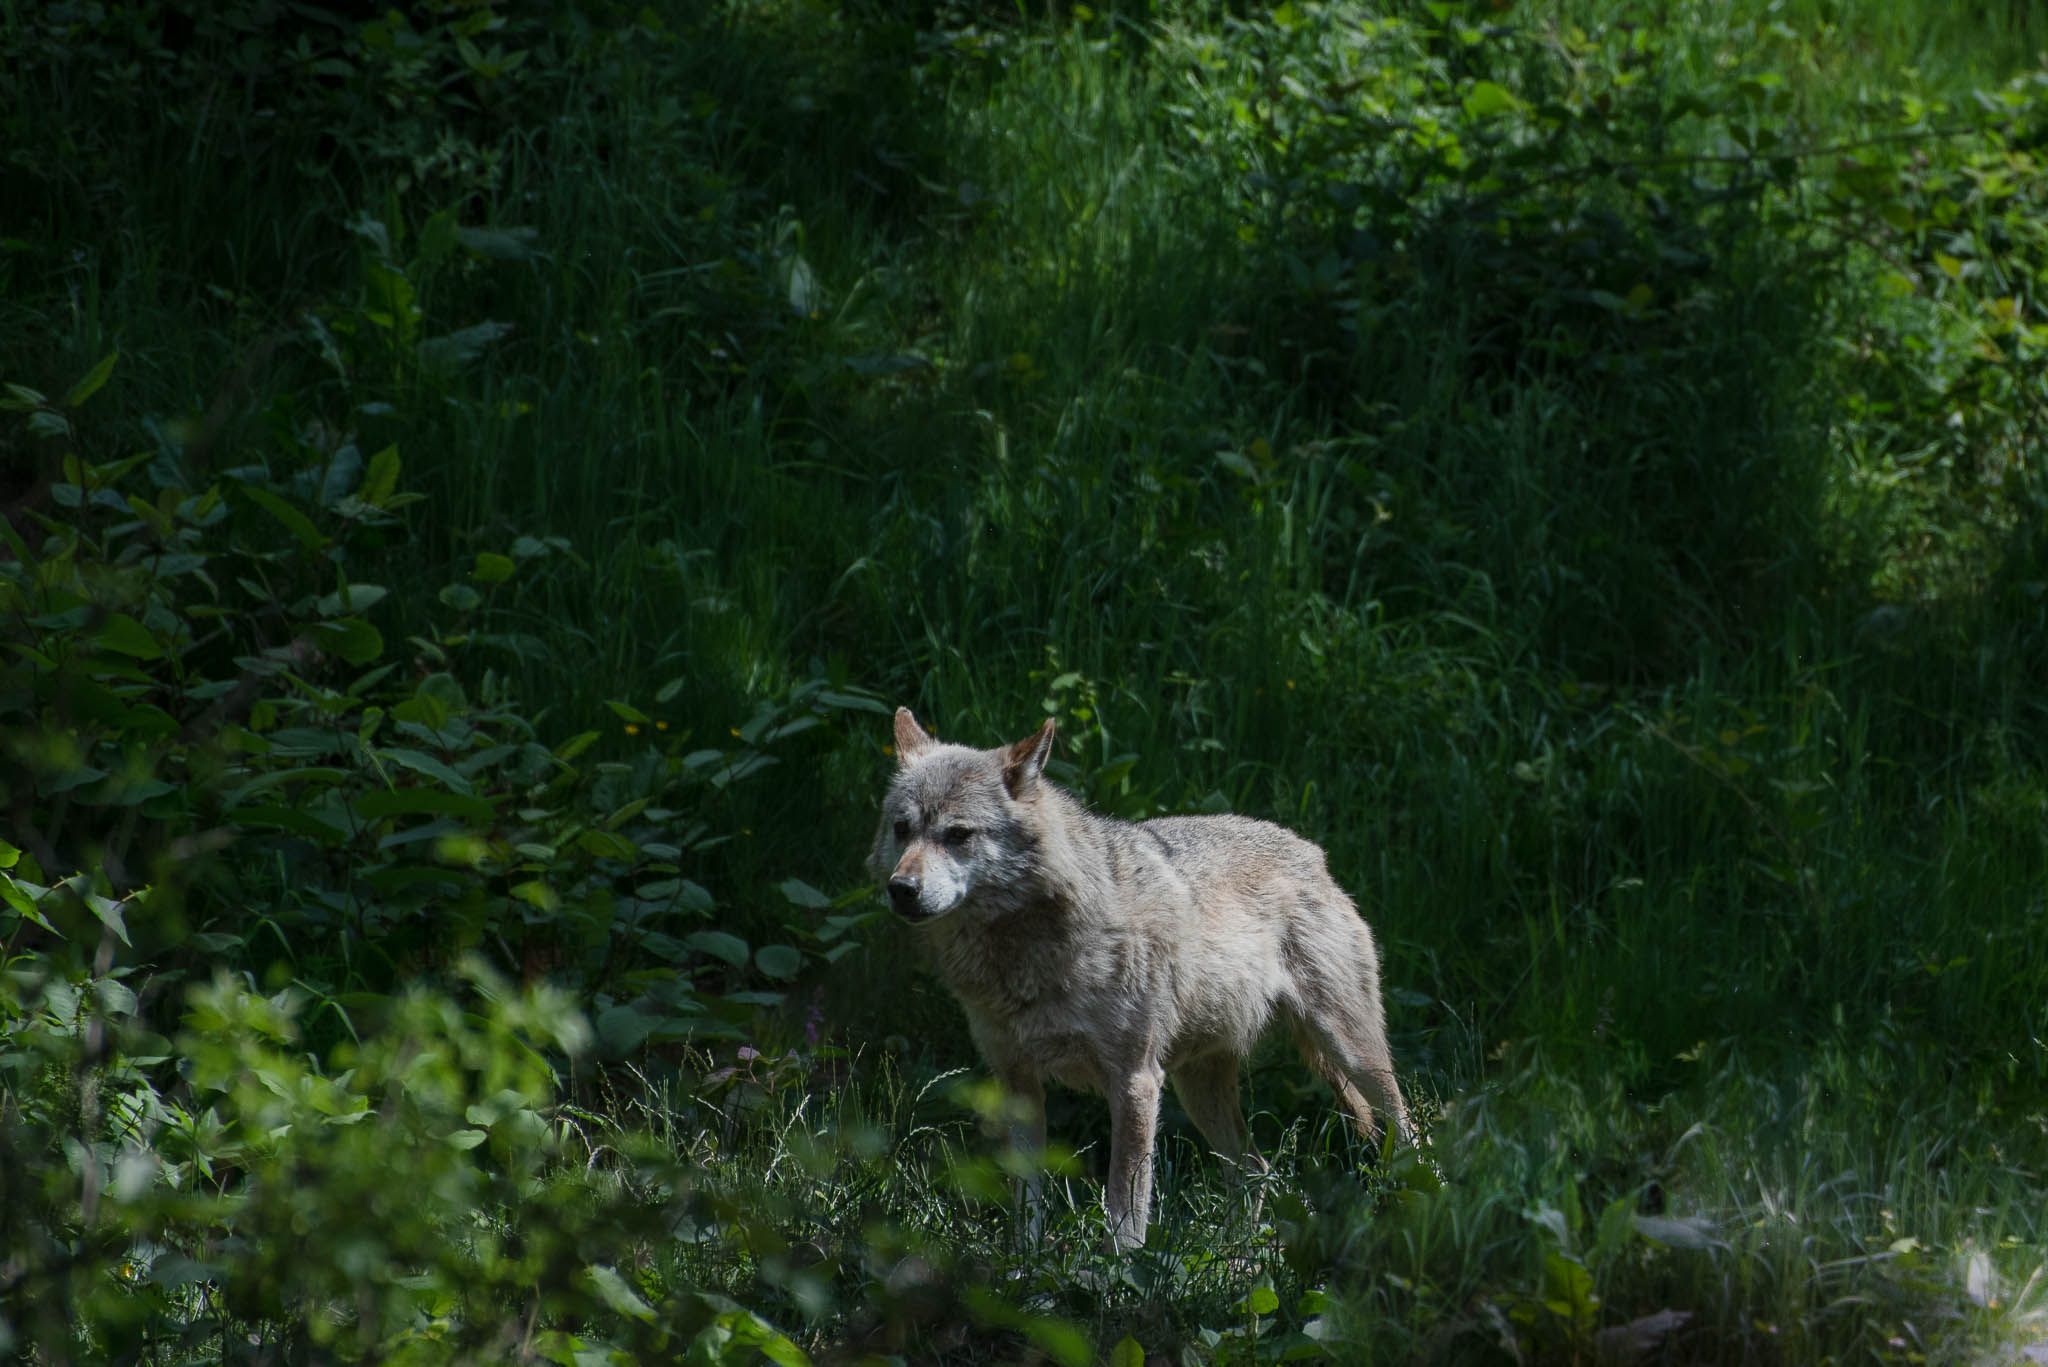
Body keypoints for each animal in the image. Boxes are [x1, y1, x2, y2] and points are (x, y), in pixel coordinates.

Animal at [869, 707, 1412, 1250]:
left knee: (1407, 1133)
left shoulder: (1135, 1082)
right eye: (902, 829)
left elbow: (1125, 1206)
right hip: (1201, 1090)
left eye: (958, 835)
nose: (902, 889)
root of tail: (1312, 852)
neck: (1025, 953)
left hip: (1353, 1056)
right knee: (1258, 1171)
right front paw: (1024, 1261)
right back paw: (1241, 1259)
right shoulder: (1017, 1082)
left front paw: (1117, 1269)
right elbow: (1027, 1200)